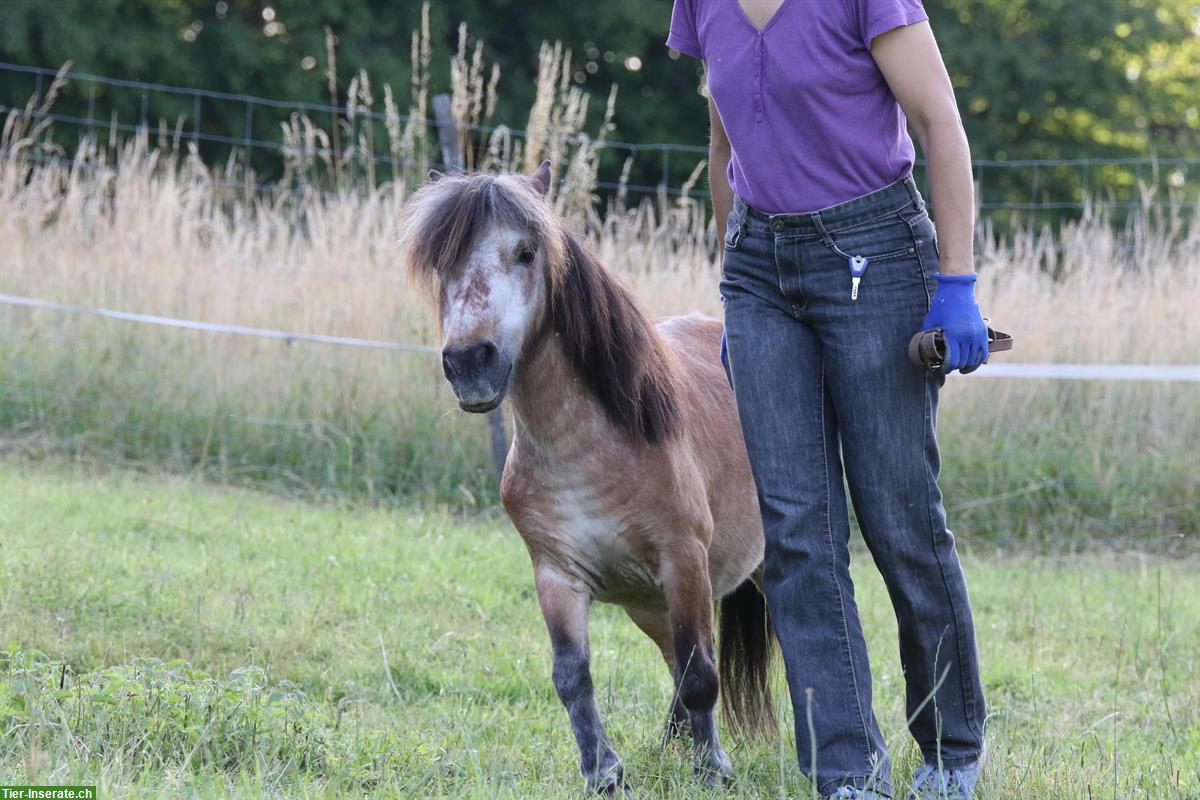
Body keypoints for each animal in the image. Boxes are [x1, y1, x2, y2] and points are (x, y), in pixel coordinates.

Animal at [400, 164, 777, 796]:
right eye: (441, 262)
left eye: (527, 252)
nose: (470, 362)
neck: (590, 448)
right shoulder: (557, 575)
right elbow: (573, 677)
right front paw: (605, 773)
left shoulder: (684, 562)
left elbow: (702, 673)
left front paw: (713, 770)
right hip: (647, 604)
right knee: (673, 662)